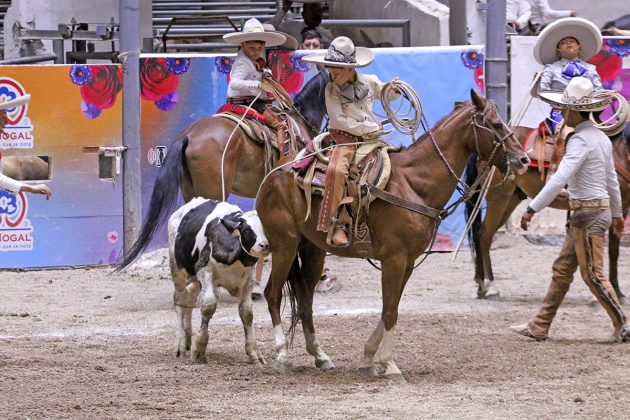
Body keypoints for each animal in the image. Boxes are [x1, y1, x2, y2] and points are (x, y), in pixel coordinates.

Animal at [168, 198, 270, 364]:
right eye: (246, 230)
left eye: (265, 229)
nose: (264, 245)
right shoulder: (204, 270)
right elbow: (208, 306)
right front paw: (199, 349)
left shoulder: (248, 280)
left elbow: (247, 313)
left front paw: (254, 352)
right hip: (176, 268)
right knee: (180, 300)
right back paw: (180, 345)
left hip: (195, 280)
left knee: (190, 297)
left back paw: (188, 339)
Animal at [256, 89, 532, 380]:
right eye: (496, 124)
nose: (524, 160)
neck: (414, 184)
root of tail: (273, 174)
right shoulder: (394, 259)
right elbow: (389, 312)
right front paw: (388, 364)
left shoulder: (408, 261)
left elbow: (392, 308)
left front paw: (369, 358)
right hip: (284, 245)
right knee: (273, 293)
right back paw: (282, 355)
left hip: (312, 249)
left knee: (305, 300)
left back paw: (320, 356)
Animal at [464, 121, 630, 302]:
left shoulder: (621, 211)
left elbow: (612, 251)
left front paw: (615, 291)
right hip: (498, 199)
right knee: (484, 236)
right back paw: (490, 286)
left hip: (510, 201)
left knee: (482, 234)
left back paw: (481, 284)